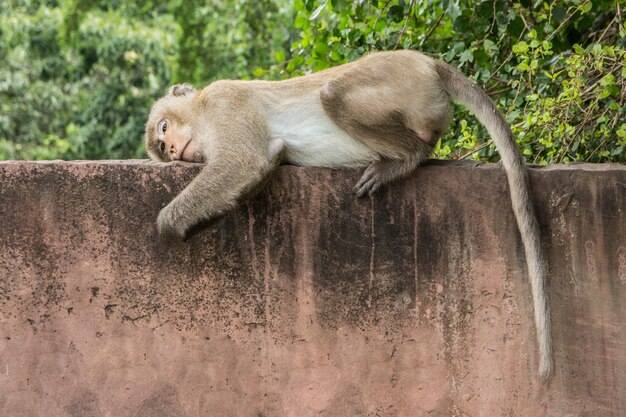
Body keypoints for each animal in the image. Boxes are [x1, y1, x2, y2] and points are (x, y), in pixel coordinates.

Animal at [143, 50, 552, 378]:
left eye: (163, 129)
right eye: (161, 148)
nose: (173, 149)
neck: (201, 114)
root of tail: (426, 61)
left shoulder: (224, 102)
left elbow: (242, 161)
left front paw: (168, 228)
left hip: (404, 82)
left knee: (334, 95)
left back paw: (407, 157)